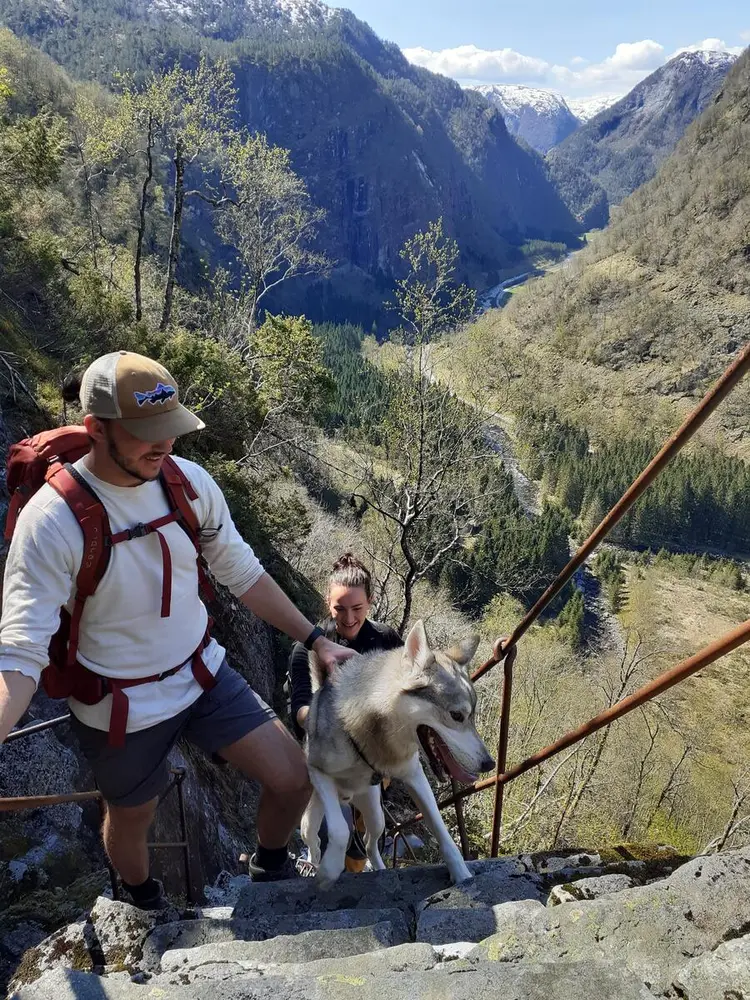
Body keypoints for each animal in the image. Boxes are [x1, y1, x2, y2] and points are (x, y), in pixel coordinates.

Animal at [302, 620, 496, 888]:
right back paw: (313, 863)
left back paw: (379, 868)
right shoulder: (316, 770)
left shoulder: (415, 776)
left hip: (376, 815)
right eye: (457, 715)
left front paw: (461, 873)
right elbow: (340, 831)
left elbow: (441, 830)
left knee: (369, 843)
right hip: (315, 813)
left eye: (473, 717)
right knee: (313, 836)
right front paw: (328, 871)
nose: (490, 764)